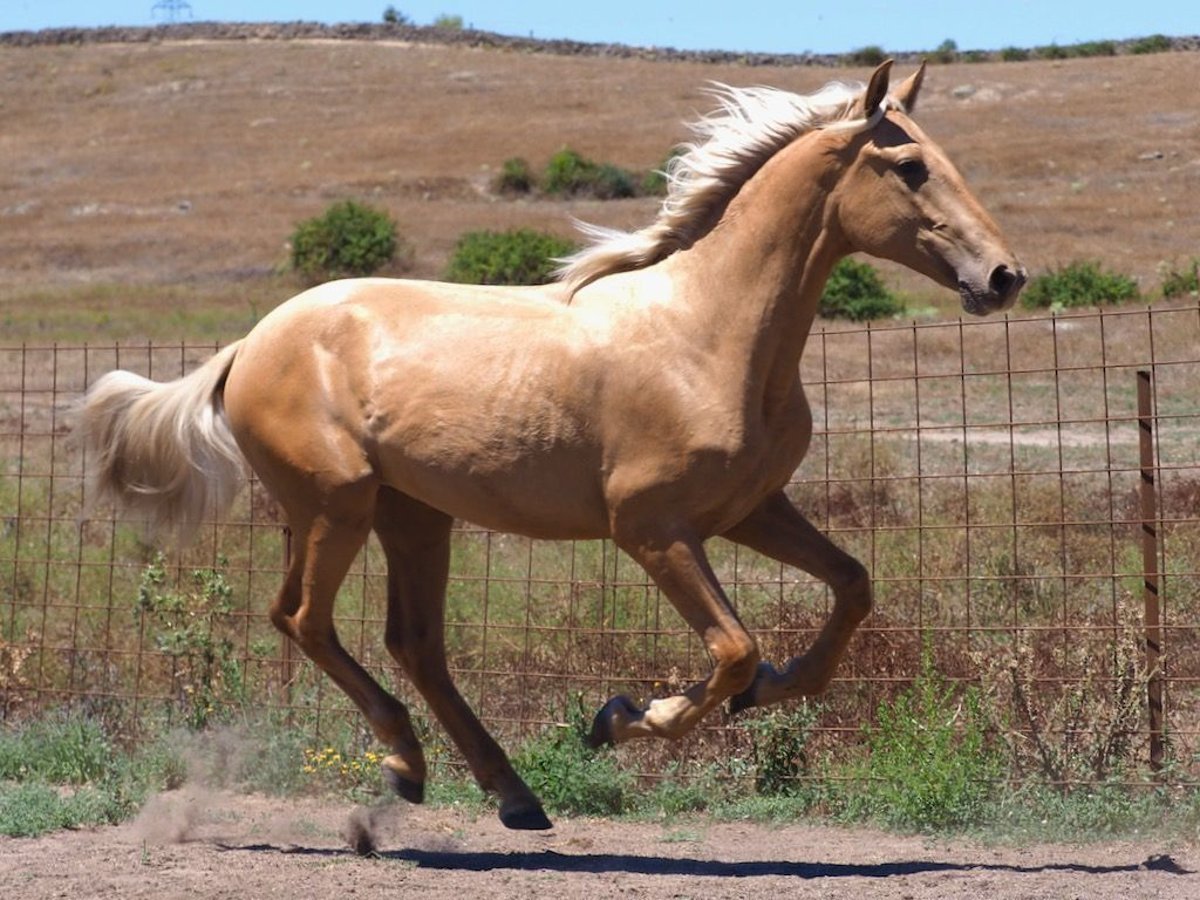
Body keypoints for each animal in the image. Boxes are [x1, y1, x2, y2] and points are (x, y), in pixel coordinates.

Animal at [79, 63, 1022, 835]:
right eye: (911, 167)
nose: (1004, 277)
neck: (706, 334)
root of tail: (249, 344)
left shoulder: (750, 511)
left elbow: (851, 590)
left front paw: (761, 695)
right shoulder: (651, 529)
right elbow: (732, 650)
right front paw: (624, 718)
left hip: (413, 514)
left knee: (413, 643)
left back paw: (513, 795)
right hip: (334, 505)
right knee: (303, 620)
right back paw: (406, 766)